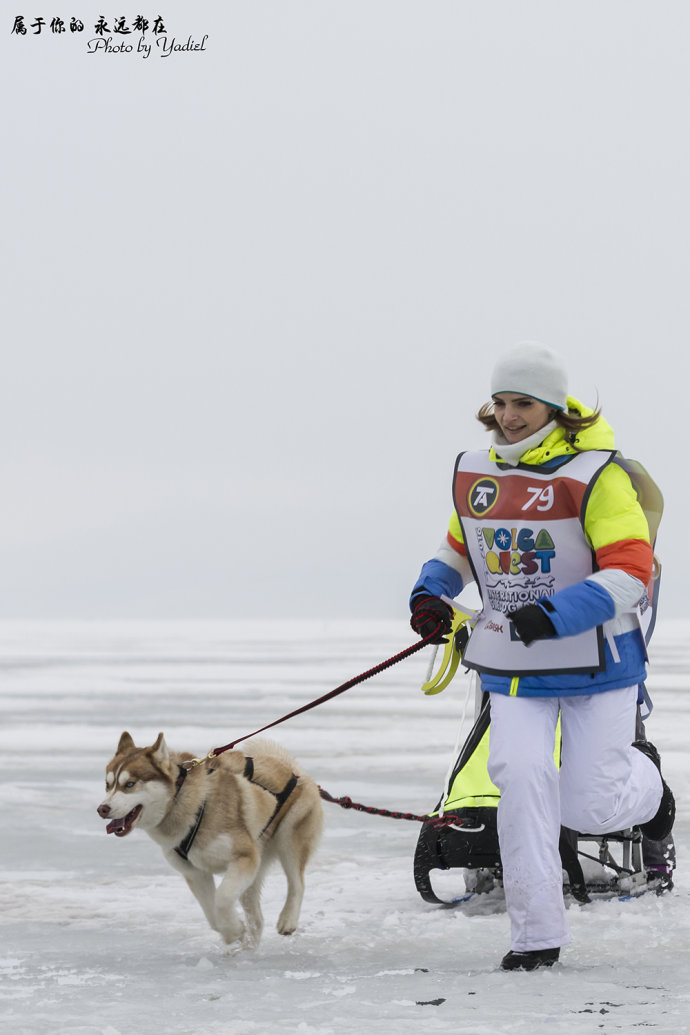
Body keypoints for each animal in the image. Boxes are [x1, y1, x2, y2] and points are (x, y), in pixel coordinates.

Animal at [97, 732, 324, 948]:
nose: (102, 809)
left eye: (129, 784)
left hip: (288, 839)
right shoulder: (195, 872)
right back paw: (246, 950)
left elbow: (222, 898)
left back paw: (287, 920)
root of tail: (293, 769)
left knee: (297, 883)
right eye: (108, 785)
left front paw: (233, 928)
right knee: (257, 919)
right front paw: (232, 932)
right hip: (255, 871)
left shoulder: (244, 857)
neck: (191, 804)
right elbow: (212, 914)